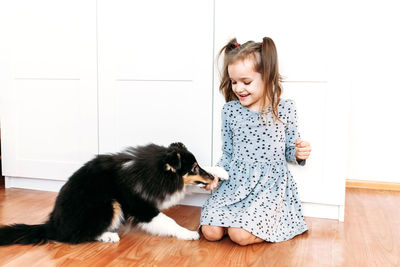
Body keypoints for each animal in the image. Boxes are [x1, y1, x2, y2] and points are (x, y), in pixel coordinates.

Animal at [0, 143, 228, 246]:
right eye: (194, 168)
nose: (210, 178)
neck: (156, 170)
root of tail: (52, 225)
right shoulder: (141, 207)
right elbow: (167, 221)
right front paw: (189, 233)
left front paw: (221, 172)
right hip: (107, 203)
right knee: (76, 236)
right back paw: (108, 235)